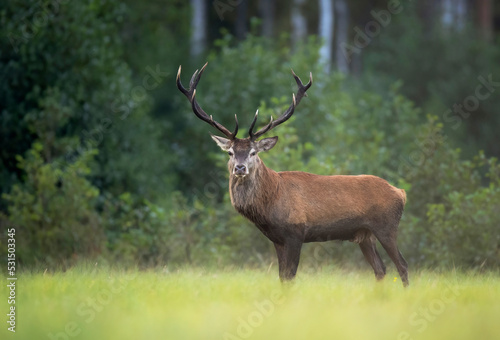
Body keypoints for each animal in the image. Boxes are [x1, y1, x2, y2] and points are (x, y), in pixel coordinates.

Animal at [178, 62, 408, 286]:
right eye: (230, 152)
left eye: (253, 152)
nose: (240, 168)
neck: (270, 202)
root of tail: (401, 192)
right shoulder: (277, 239)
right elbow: (282, 277)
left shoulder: (296, 232)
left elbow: (290, 276)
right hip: (365, 235)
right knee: (380, 269)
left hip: (386, 226)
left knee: (402, 265)